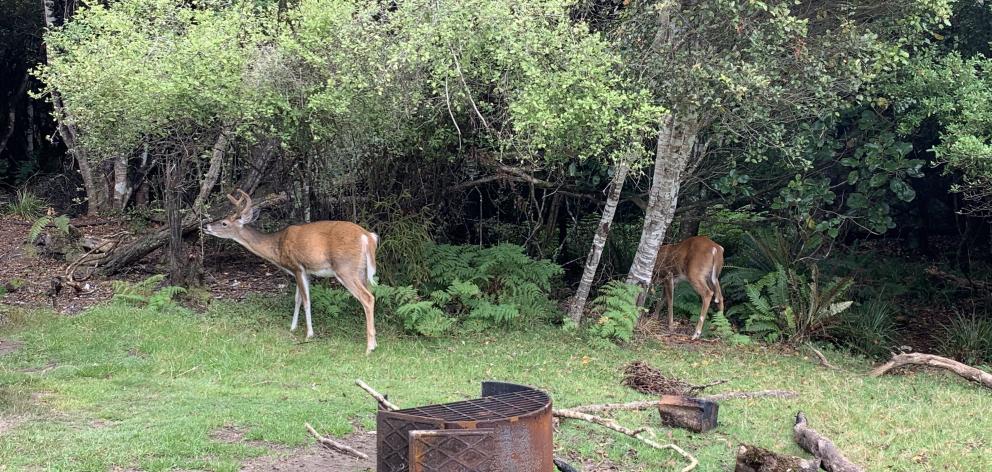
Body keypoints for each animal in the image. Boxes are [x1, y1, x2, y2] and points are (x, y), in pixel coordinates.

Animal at [202, 190, 380, 352]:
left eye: (224, 223)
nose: (206, 226)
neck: (277, 246)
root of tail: (368, 237)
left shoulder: (297, 266)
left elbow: (306, 301)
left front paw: (309, 334)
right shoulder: (305, 272)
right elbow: (297, 299)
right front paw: (293, 327)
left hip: (346, 268)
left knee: (367, 298)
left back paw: (369, 347)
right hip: (362, 271)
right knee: (371, 293)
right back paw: (374, 343)